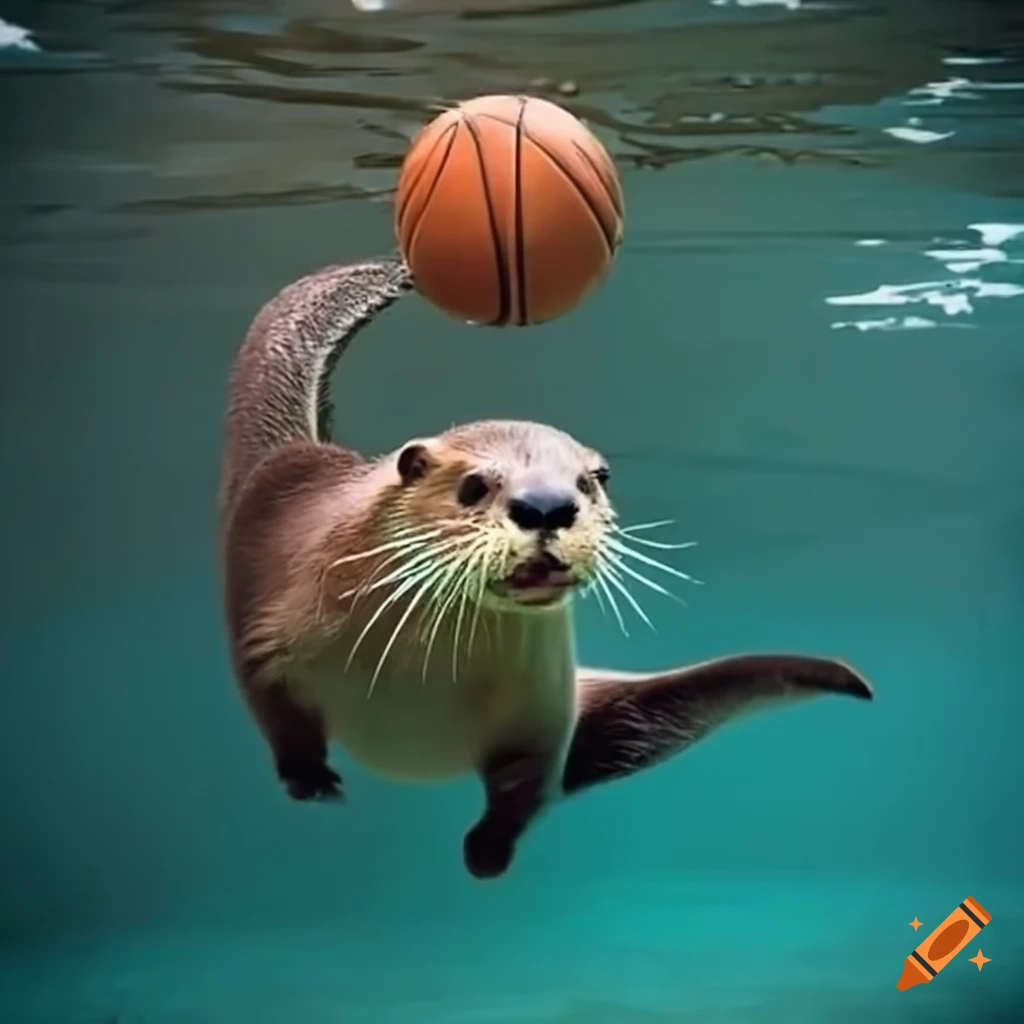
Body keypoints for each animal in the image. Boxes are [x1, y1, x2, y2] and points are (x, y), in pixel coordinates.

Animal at [218, 257, 873, 880]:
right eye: (474, 485)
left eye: (591, 480)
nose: (548, 506)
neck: (420, 682)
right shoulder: (268, 638)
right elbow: (274, 709)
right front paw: (312, 783)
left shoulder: (542, 710)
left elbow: (528, 783)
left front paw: (486, 854)